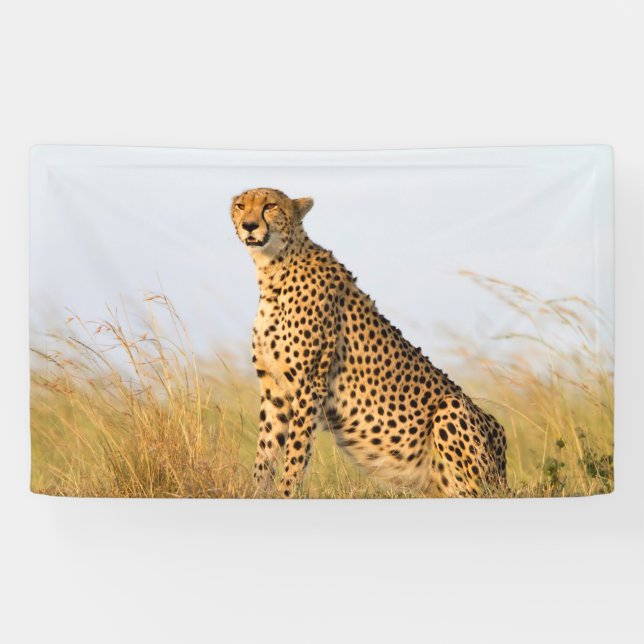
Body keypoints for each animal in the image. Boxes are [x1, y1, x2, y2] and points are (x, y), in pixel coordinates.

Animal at [230, 187, 507, 498]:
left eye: (270, 206)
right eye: (241, 206)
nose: (249, 225)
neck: (273, 269)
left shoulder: (309, 384)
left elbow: (296, 451)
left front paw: (287, 493)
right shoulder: (274, 389)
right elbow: (265, 450)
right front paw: (256, 492)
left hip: (453, 410)